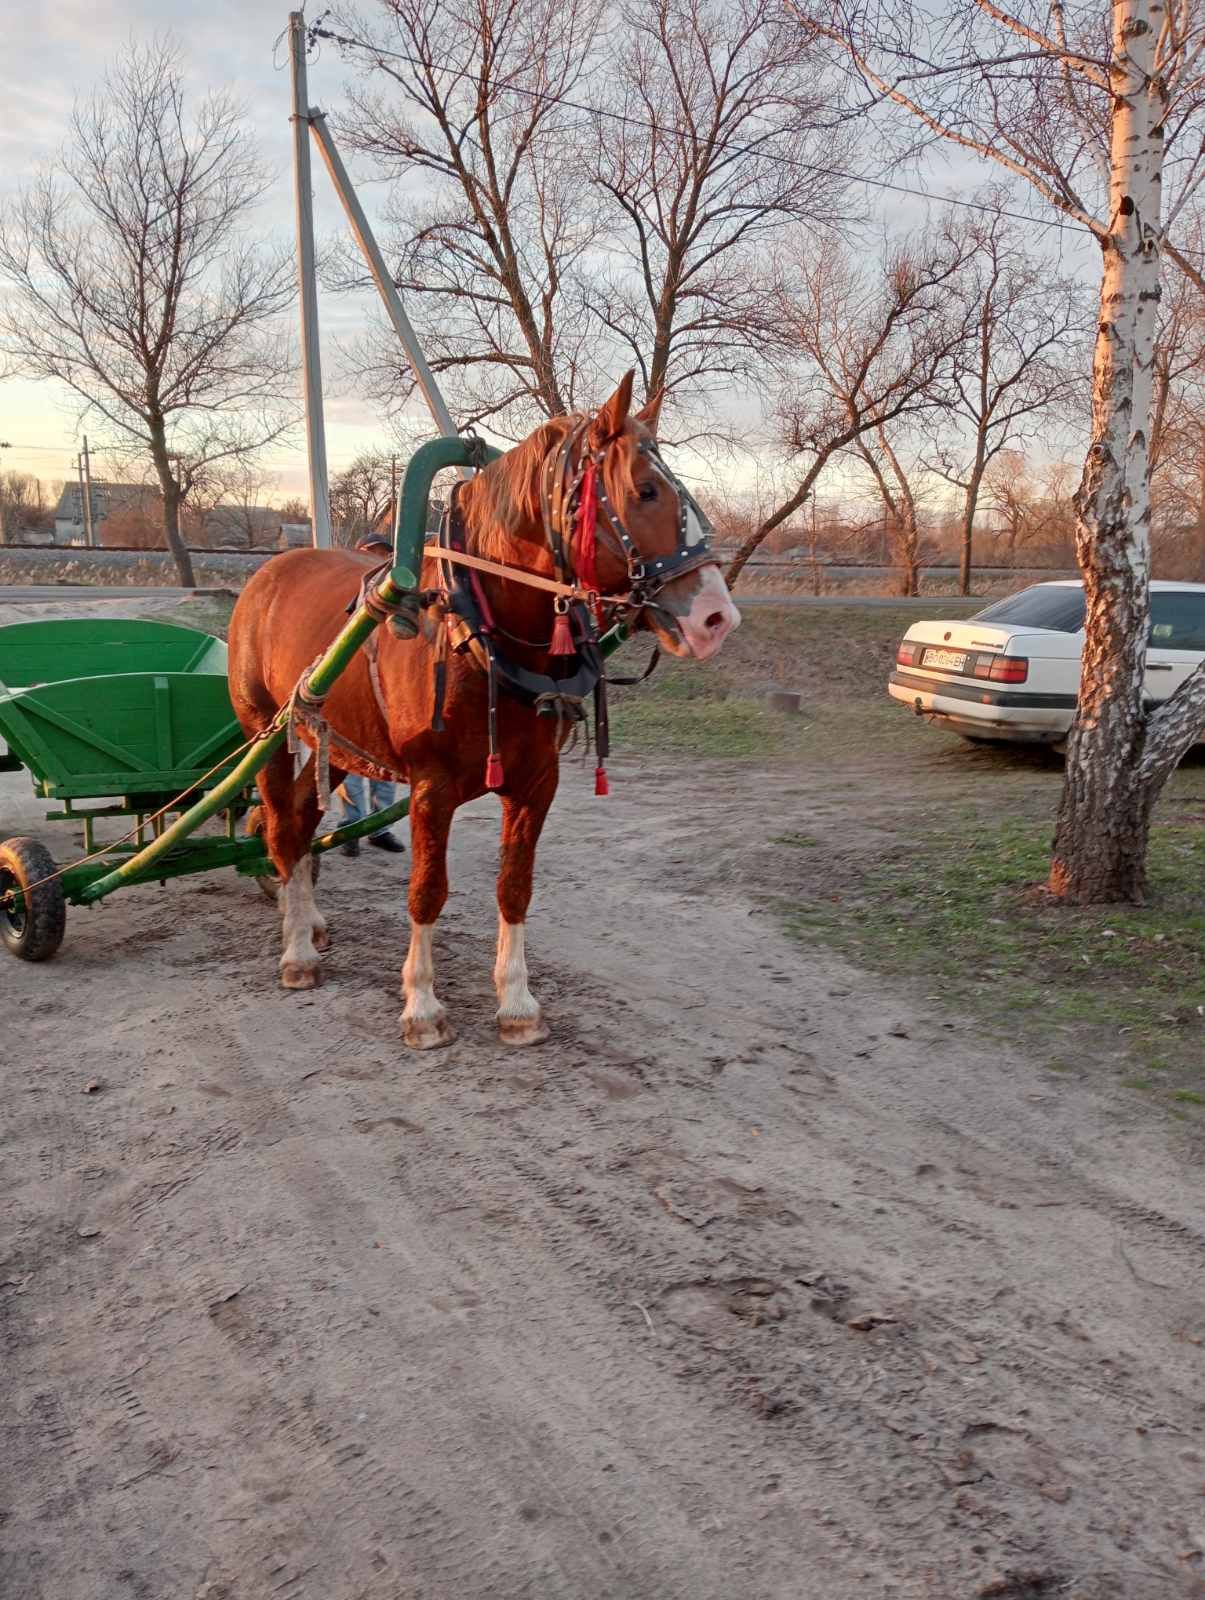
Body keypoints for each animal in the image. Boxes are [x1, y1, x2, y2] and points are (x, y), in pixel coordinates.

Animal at [224, 374, 732, 1049]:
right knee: (281, 829)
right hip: (267, 733)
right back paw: (297, 951)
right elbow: (427, 891)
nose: (717, 617)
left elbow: (514, 887)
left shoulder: (537, 782)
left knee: (304, 823)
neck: (476, 629)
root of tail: (269, 573)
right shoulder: (431, 787)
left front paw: (516, 1002)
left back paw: (306, 921)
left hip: (339, 744)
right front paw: (422, 1005)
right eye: (644, 490)